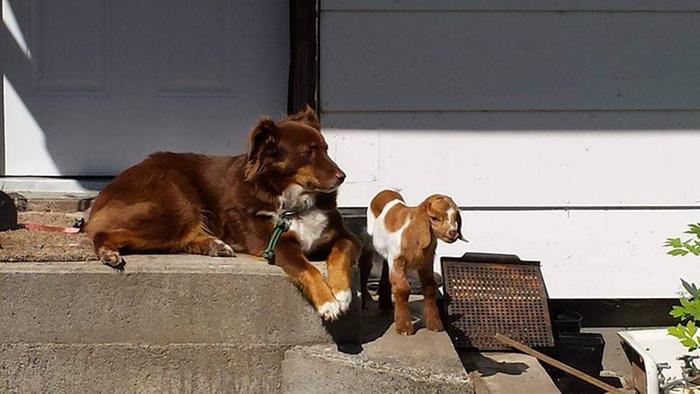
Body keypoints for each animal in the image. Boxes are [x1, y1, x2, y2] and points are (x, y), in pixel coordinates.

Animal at [86, 107, 360, 320]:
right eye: (307, 152)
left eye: (326, 149)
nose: (343, 176)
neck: (294, 204)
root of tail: (109, 188)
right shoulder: (277, 244)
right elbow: (308, 269)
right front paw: (328, 303)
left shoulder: (345, 236)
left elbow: (340, 254)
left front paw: (342, 293)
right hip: (177, 207)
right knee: (100, 232)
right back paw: (108, 253)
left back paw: (214, 245)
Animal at [360, 189, 464, 334]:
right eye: (434, 218)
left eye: (456, 218)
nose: (453, 233)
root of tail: (385, 191)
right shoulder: (397, 260)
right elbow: (402, 288)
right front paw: (404, 327)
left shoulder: (426, 261)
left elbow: (430, 286)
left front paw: (435, 325)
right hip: (370, 237)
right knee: (366, 262)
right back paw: (365, 299)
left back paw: (386, 305)